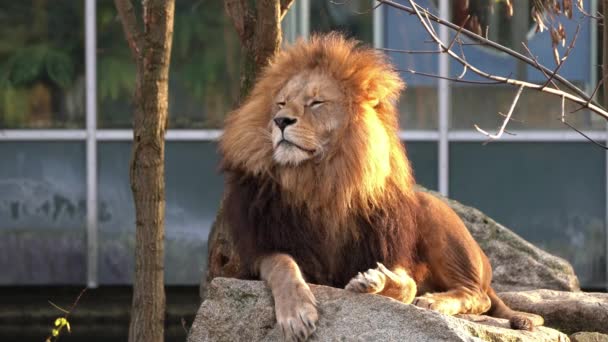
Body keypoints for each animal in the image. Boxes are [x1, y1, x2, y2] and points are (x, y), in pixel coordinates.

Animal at [217, 32, 540, 342]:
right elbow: (284, 265)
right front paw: (296, 313)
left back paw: (435, 301)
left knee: (479, 296)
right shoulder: (258, 249)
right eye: (281, 103)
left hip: (437, 217)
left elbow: (408, 285)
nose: (280, 121)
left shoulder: (388, 244)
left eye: (316, 103)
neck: (323, 180)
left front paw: (376, 280)